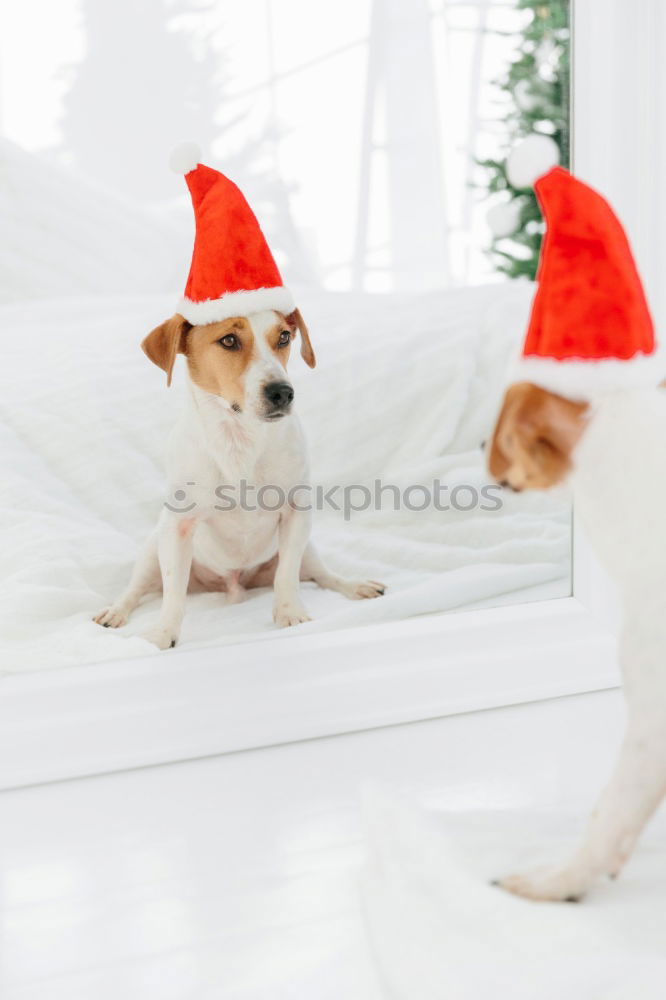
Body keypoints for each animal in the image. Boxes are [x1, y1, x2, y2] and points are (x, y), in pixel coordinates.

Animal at [94, 304, 384, 648]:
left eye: (284, 337)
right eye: (229, 340)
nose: (283, 392)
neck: (240, 440)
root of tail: (232, 585)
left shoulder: (296, 513)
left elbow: (287, 575)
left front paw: (290, 613)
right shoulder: (178, 528)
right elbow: (173, 593)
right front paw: (163, 633)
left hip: (307, 548)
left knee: (322, 575)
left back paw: (354, 585)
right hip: (152, 551)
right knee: (136, 589)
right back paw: (115, 611)